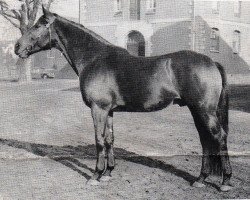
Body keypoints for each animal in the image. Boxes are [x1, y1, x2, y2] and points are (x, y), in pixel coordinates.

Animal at [13, 6, 232, 192]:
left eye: (39, 25)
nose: (17, 47)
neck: (94, 58)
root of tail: (211, 61)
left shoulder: (98, 109)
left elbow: (99, 140)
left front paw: (95, 175)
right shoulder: (109, 110)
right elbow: (110, 139)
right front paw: (108, 173)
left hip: (204, 111)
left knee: (219, 137)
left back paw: (225, 182)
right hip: (196, 110)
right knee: (205, 140)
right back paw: (200, 179)